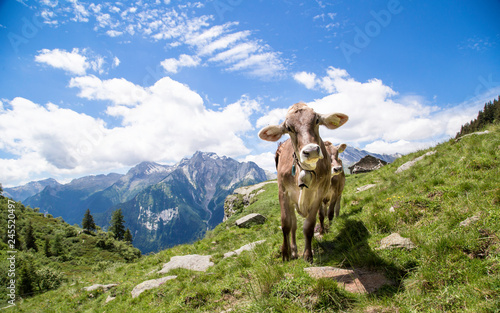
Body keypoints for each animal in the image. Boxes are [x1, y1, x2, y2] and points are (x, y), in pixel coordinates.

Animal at [258, 102, 348, 260]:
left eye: (317, 120)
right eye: (288, 128)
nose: (311, 150)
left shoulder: (320, 194)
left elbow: (310, 225)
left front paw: (308, 254)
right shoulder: (283, 192)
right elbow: (286, 224)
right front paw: (285, 253)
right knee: (293, 224)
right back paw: (293, 250)